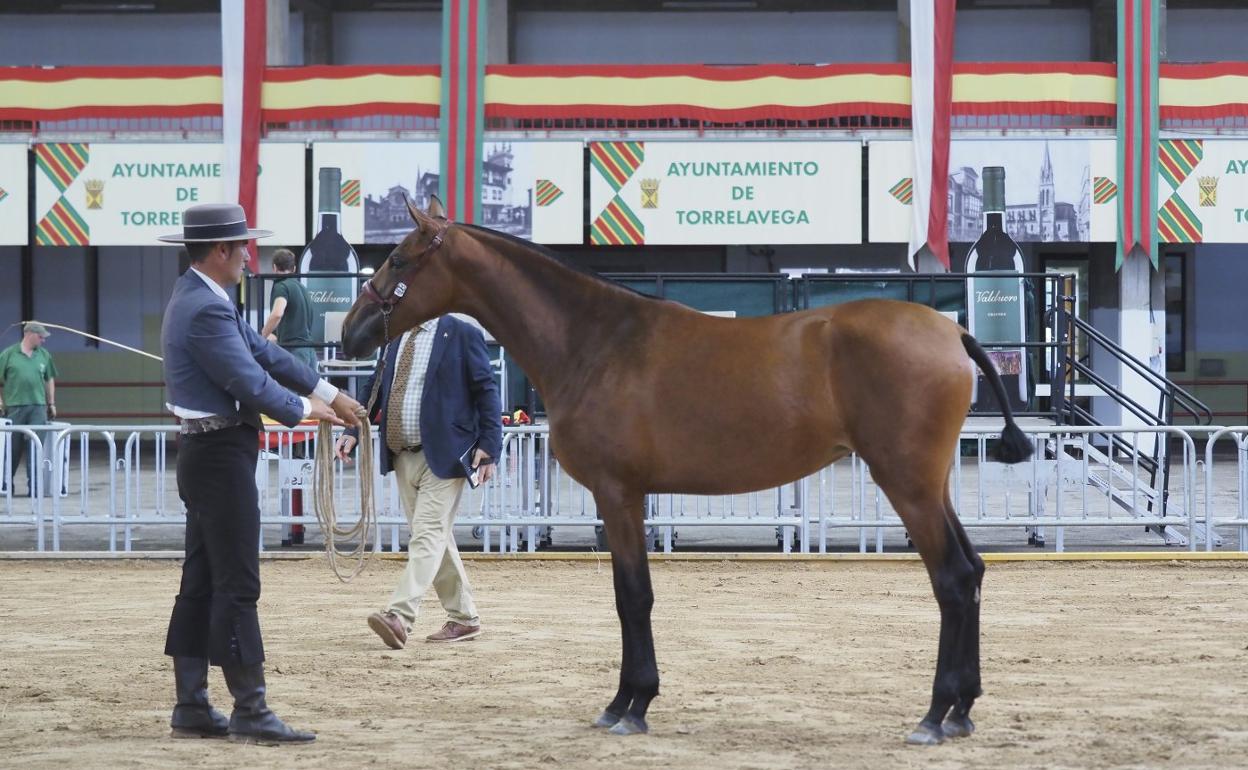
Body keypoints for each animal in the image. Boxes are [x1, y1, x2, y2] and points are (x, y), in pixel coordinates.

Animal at [339, 197, 1033, 743]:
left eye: (399, 260)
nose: (349, 333)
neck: (596, 341)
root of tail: (951, 334)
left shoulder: (618, 494)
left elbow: (632, 597)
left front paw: (630, 705)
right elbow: (632, 596)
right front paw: (630, 700)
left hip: (907, 484)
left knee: (951, 580)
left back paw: (935, 716)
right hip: (930, 485)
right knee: (972, 573)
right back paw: (961, 711)